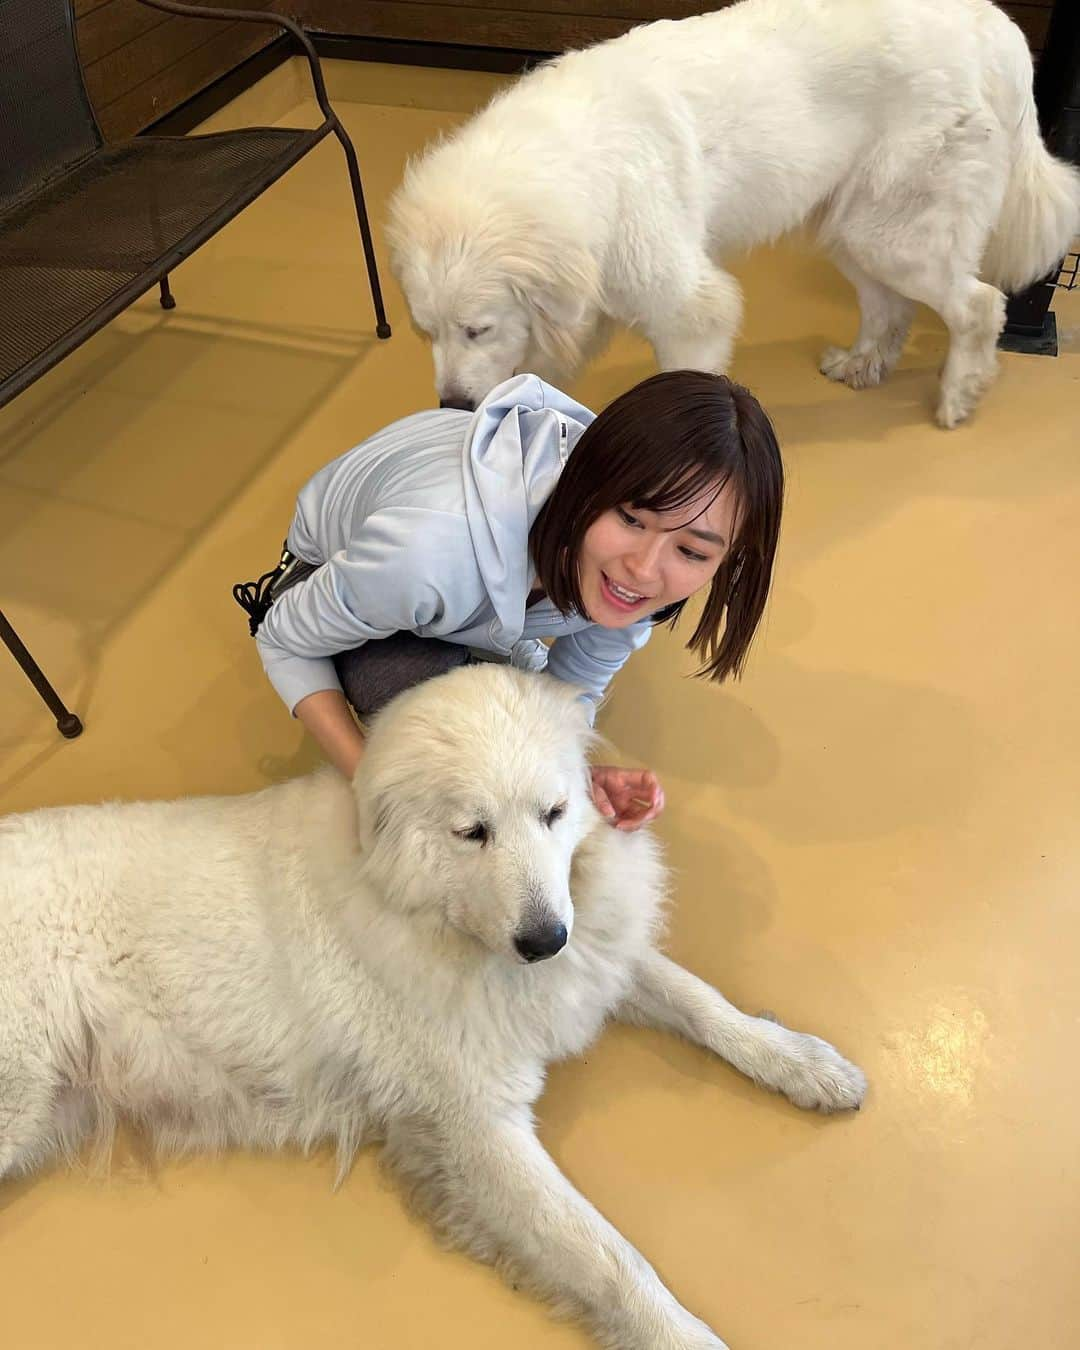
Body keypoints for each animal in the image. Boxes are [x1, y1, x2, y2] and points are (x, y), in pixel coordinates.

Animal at [0, 666, 858, 1350]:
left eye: (553, 814)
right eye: (472, 832)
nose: (543, 941)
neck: (430, 914)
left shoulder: (592, 960)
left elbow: (704, 1003)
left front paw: (803, 1063)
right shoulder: (477, 1132)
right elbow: (614, 1260)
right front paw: (679, 1333)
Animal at [388, 0, 1080, 426]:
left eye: (476, 329)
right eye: (426, 332)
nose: (450, 404)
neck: (576, 166)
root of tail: (989, 21)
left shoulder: (691, 309)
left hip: (894, 235)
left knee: (979, 304)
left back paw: (958, 396)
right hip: (851, 230)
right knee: (890, 309)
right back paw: (863, 365)